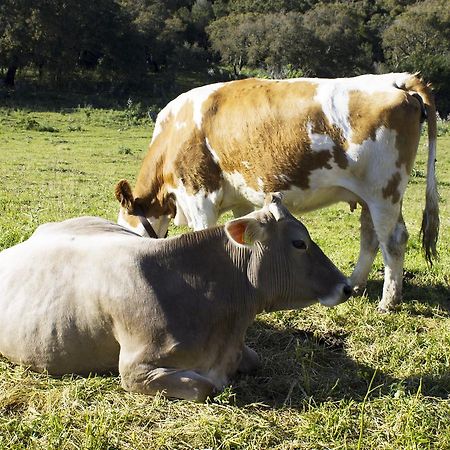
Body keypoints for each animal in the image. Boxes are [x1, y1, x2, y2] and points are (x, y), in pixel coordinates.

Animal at [115, 74, 440, 312]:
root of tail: (395, 79)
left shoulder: (199, 196)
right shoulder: (240, 200)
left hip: (383, 192)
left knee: (393, 240)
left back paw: (389, 301)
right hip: (368, 197)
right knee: (370, 237)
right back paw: (356, 283)